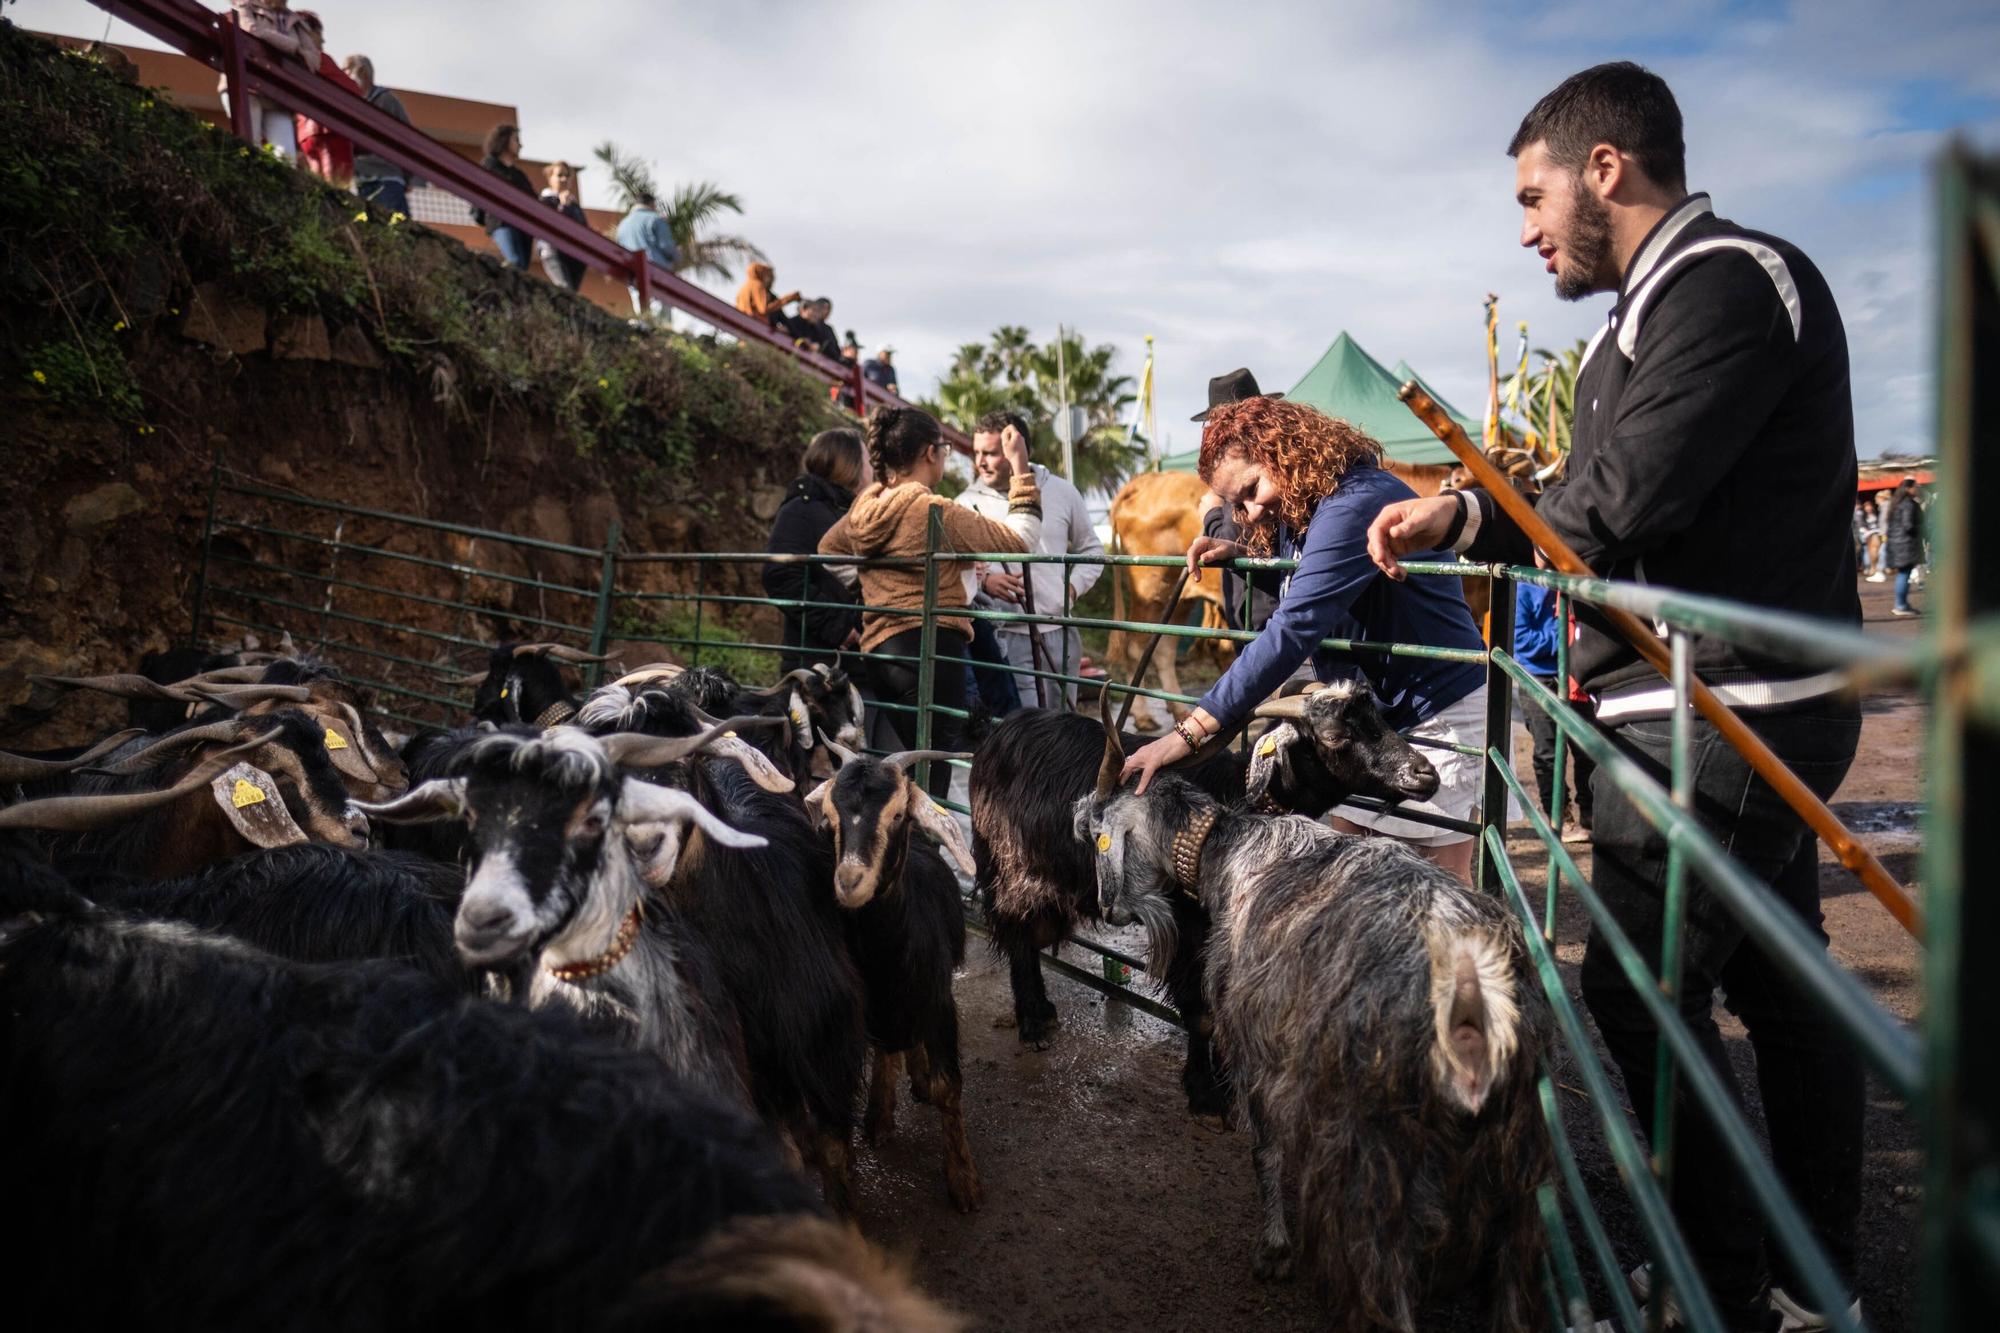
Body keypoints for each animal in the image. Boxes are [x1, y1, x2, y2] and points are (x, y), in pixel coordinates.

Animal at [800, 740, 980, 1208]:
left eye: (898, 814)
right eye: (830, 817)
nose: (849, 880)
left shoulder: (940, 1002)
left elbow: (948, 1088)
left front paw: (963, 1181)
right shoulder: (869, 1010)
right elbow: (883, 1053)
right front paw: (877, 1115)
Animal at [968, 676, 1440, 1112]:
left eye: (1378, 716)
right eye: (1336, 736)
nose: (1425, 775)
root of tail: (996, 733)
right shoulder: (1188, 927)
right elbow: (1201, 1013)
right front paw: (1205, 1092)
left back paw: (1044, 1010)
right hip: (1009, 865)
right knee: (1017, 932)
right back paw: (1032, 1023)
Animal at [1072, 720, 1552, 1320]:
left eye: (1096, 833)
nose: (1104, 909)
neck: (1228, 846)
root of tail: (1471, 992)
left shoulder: (1254, 1046)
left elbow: (1265, 1148)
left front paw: (1274, 1249)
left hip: (1370, 1169)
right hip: (1516, 1178)